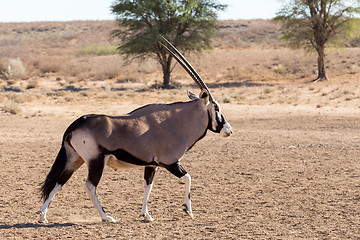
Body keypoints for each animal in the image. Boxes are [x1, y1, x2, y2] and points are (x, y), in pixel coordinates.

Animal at [38, 36, 232, 224]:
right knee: (90, 186)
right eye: (216, 107)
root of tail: (77, 123)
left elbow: (148, 186)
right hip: (96, 161)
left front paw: (146, 215)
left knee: (58, 182)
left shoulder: (152, 165)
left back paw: (43, 216)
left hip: (75, 159)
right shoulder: (170, 162)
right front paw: (187, 210)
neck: (179, 121)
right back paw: (106, 217)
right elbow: (188, 178)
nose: (228, 129)